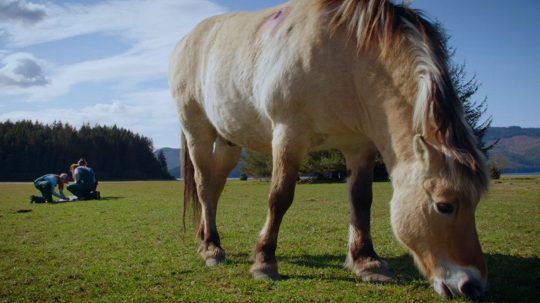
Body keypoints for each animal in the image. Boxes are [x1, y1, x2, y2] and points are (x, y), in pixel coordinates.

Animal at [169, 0, 490, 300]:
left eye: (476, 202)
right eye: (444, 205)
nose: (472, 285)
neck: (347, 56)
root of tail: (187, 39)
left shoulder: (359, 145)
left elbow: (361, 200)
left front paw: (367, 263)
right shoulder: (288, 134)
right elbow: (279, 198)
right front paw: (264, 261)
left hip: (228, 142)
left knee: (215, 188)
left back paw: (205, 238)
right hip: (198, 133)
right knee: (203, 186)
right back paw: (212, 248)